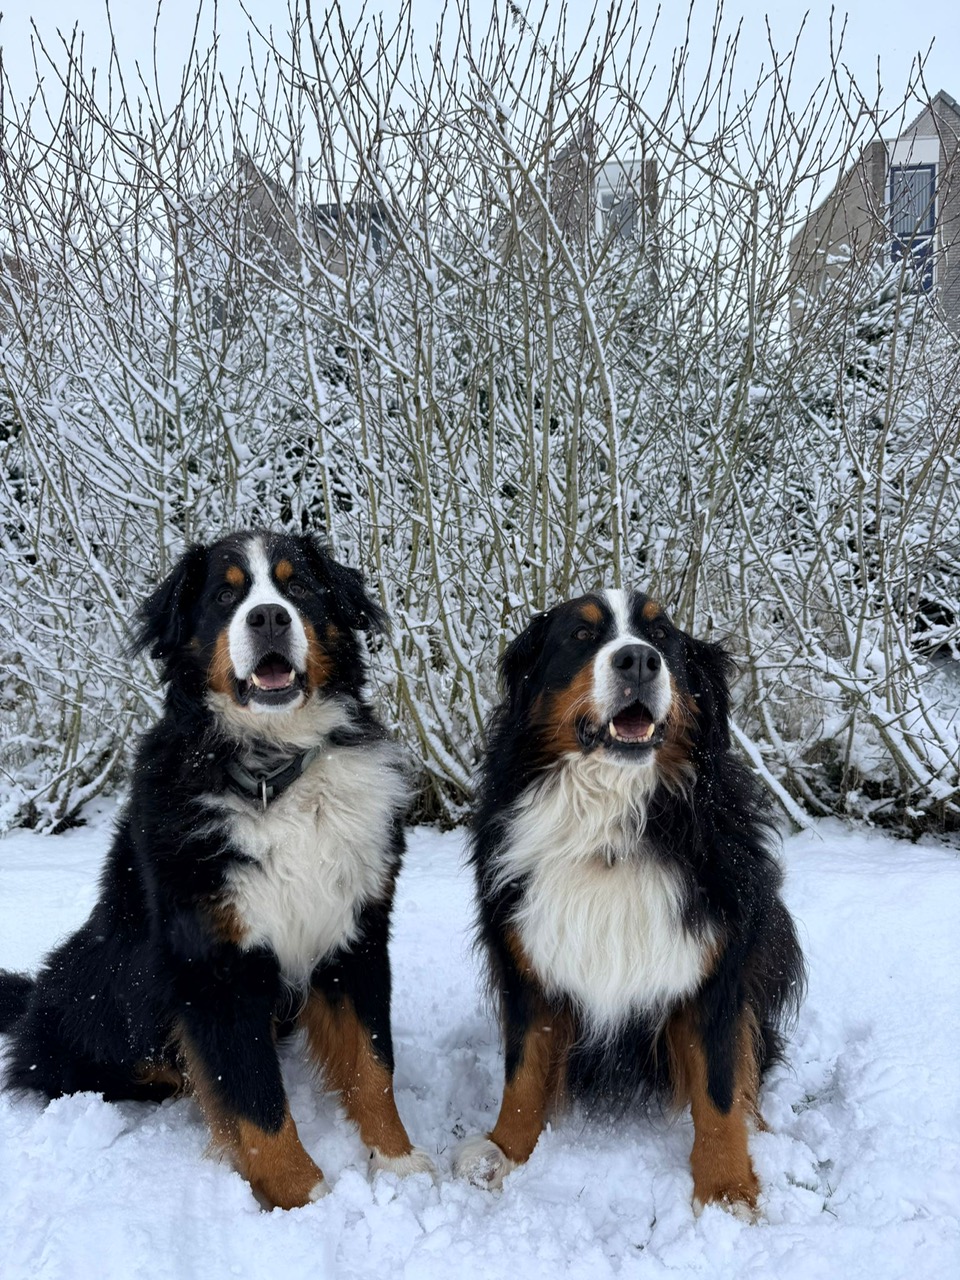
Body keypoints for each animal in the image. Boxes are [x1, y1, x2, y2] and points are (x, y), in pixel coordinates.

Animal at [0, 530, 434, 1209]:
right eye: (225, 596)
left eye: (297, 585)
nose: (269, 617)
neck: (273, 777)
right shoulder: (213, 963)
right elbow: (255, 1098)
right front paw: (304, 1198)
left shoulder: (355, 935)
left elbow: (372, 1065)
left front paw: (397, 1165)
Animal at [454, 589, 804, 1215]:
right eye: (580, 635)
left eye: (662, 635)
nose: (638, 660)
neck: (611, 828)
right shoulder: (526, 960)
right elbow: (523, 1071)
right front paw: (503, 1154)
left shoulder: (716, 967)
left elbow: (719, 1088)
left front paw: (727, 1188)